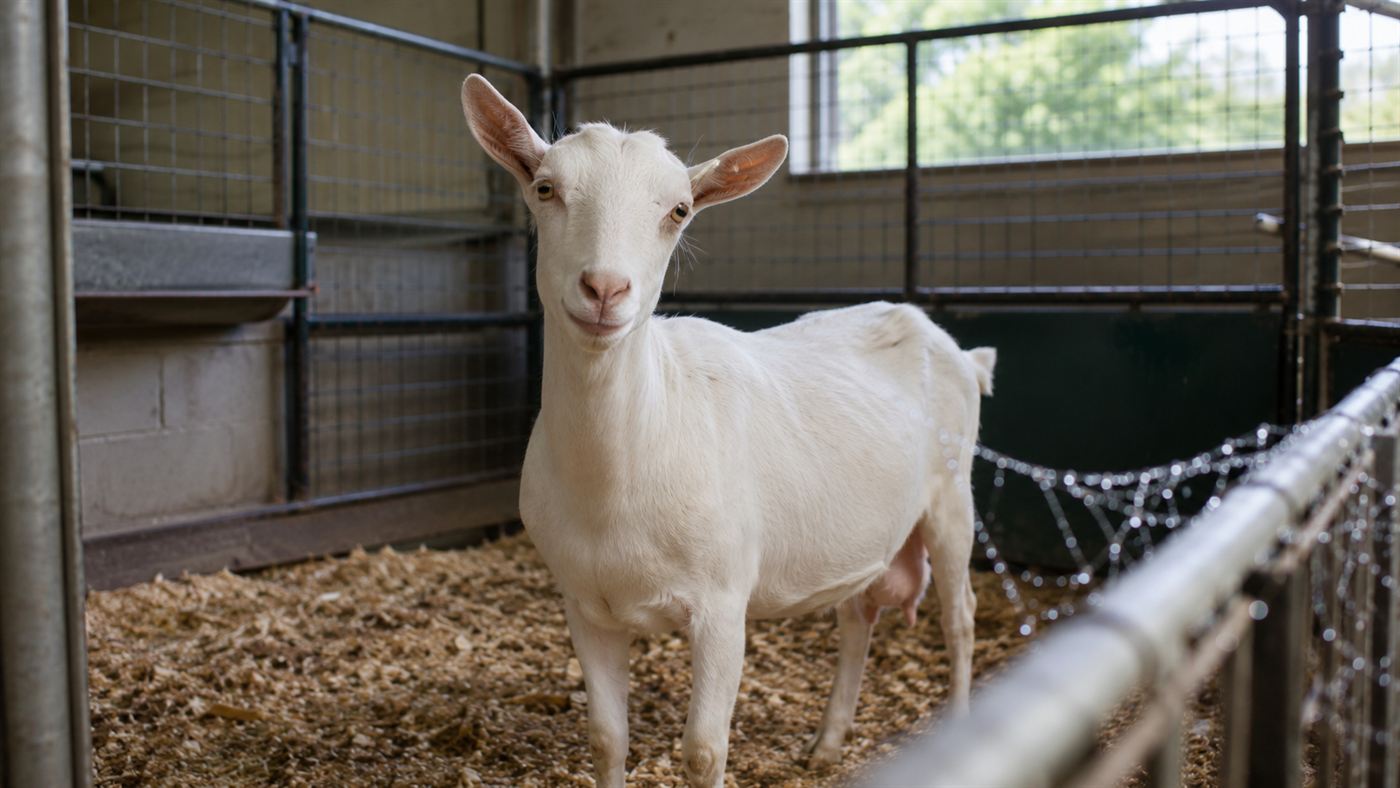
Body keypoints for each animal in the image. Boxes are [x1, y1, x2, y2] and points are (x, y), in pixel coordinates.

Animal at [460, 74, 995, 788]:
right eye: (545, 188)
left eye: (679, 211)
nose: (604, 289)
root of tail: (956, 349)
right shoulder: (583, 600)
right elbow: (605, 737)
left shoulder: (721, 599)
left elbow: (704, 749)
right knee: (857, 614)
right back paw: (828, 743)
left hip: (952, 493)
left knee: (959, 618)